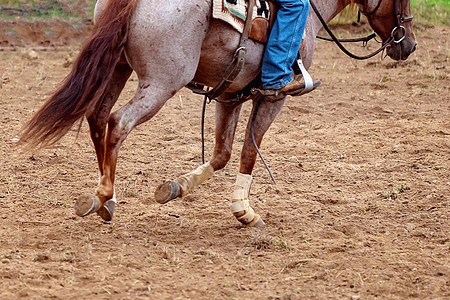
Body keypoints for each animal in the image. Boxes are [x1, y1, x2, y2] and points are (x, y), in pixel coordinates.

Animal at [19, 0, 416, 226]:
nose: (408, 44)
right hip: (162, 81)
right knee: (118, 122)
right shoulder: (272, 98)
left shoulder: (230, 95)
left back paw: (108, 200)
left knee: (98, 117)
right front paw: (244, 211)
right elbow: (249, 152)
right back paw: (102, 197)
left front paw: (176, 187)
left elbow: (222, 153)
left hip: (118, 65)